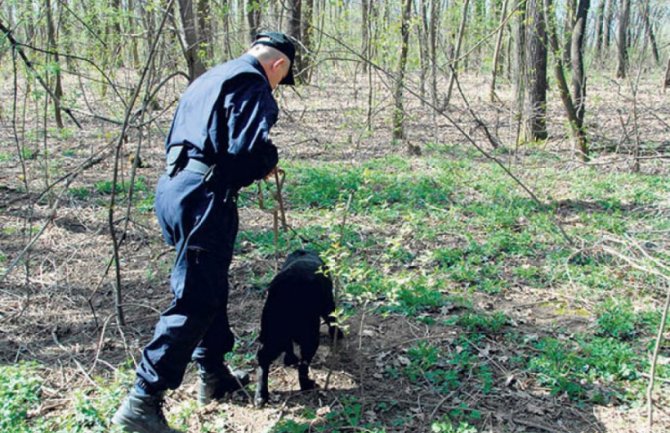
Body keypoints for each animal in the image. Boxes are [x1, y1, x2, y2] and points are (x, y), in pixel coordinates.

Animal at [256, 248, 344, 406]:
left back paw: (261, 395)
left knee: (263, 359)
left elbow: (289, 347)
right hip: (309, 336)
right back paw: (306, 385)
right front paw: (337, 333)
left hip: (272, 335)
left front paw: (289, 359)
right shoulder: (328, 303)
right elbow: (332, 319)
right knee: (303, 365)